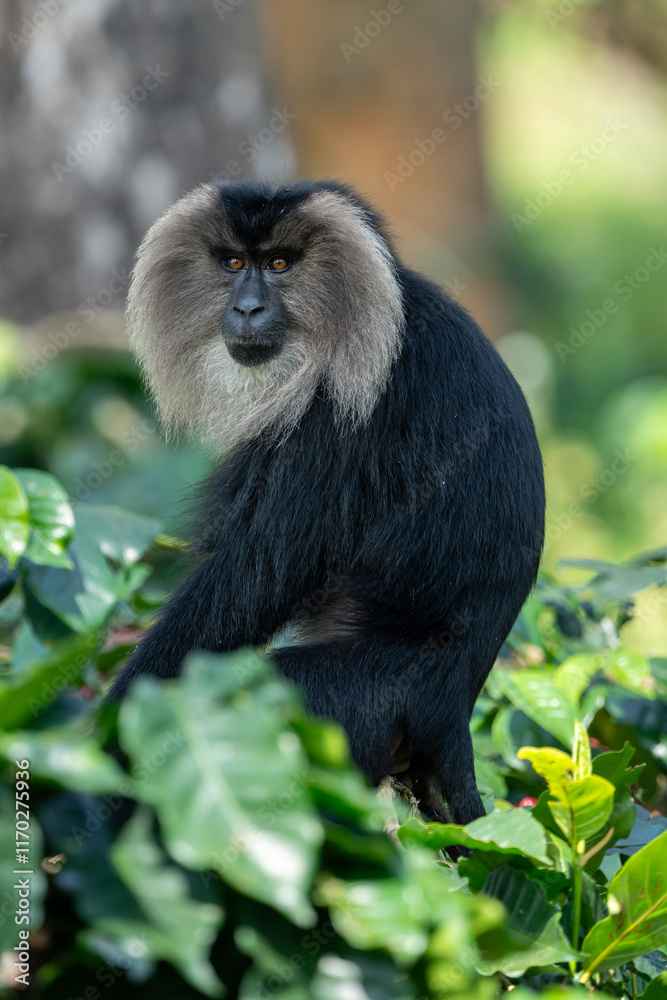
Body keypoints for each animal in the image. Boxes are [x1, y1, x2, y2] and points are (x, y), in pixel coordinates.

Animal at [107, 179, 545, 827]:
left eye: (279, 265)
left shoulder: (336, 418)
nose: (246, 309)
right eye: (234, 264)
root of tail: (449, 715)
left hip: (352, 707)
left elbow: (255, 575)